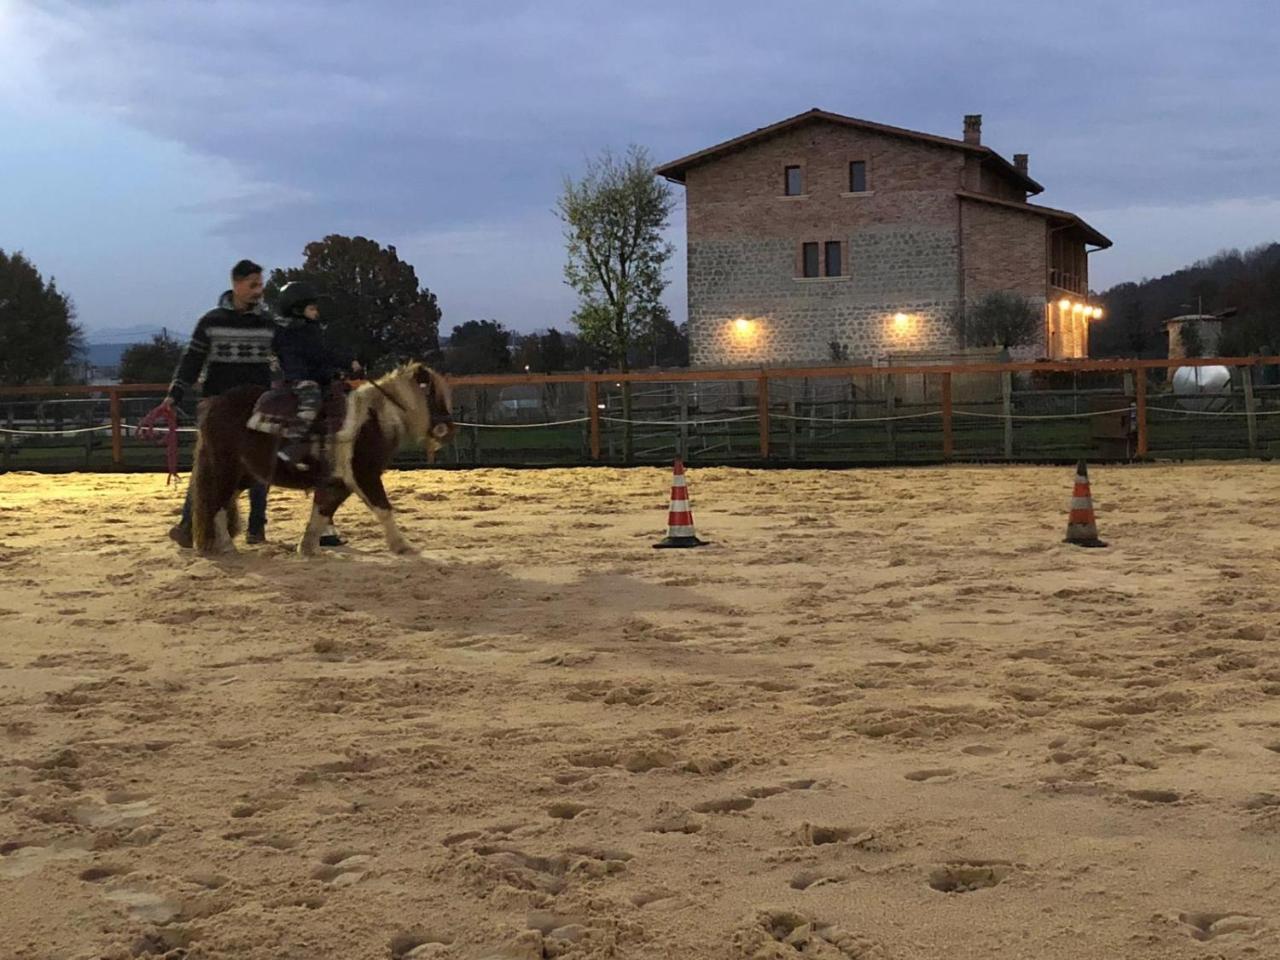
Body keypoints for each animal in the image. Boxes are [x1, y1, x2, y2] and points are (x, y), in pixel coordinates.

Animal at [186, 360, 453, 555]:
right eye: (431, 394)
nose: (446, 428)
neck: (371, 420)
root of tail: (213, 403)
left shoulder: (338, 483)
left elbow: (322, 512)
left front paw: (308, 548)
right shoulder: (363, 475)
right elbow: (383, 508)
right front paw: (403, 546)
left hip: (245, 474)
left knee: (223, 501)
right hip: (225, 468)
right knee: (217, 504)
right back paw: (227, 546)